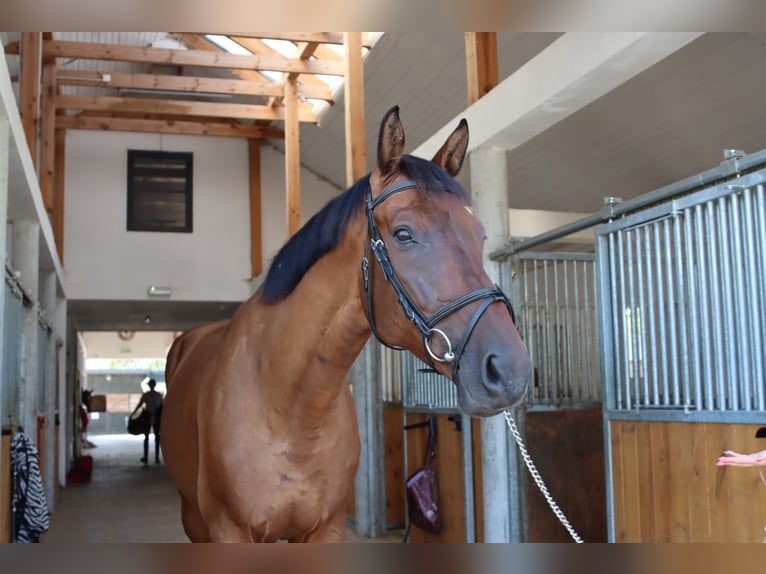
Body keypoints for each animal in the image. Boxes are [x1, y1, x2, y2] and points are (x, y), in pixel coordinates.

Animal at [162, 108, 536, 544]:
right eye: (404, 234)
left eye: (481, 236)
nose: (510, 370)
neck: (290, 411)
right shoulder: (229, 531)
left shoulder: (327, 529)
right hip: (194, 519)